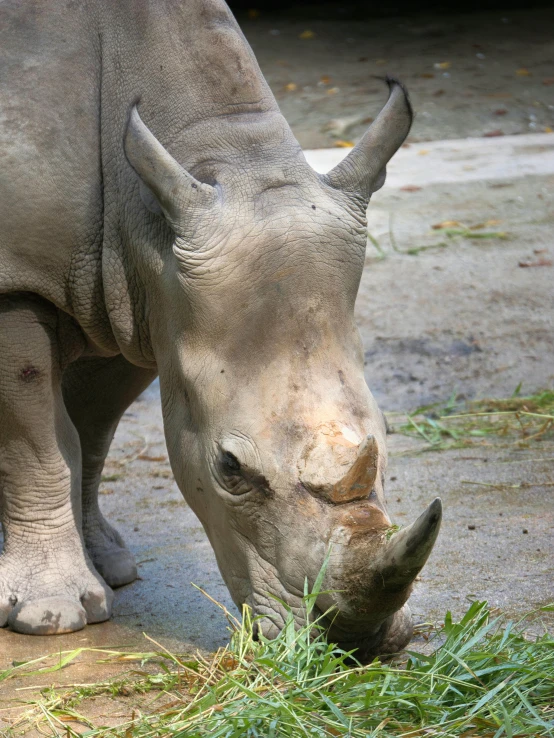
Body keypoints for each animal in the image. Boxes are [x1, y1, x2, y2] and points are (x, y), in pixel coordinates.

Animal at [0, 0, 440, 656]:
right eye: (230, 469)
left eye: (386, 436)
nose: (350, 644)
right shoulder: (18, 279)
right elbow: (37, 443)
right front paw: (52, 614)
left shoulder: (135, 294)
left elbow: (93, 427)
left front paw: (109, 567)